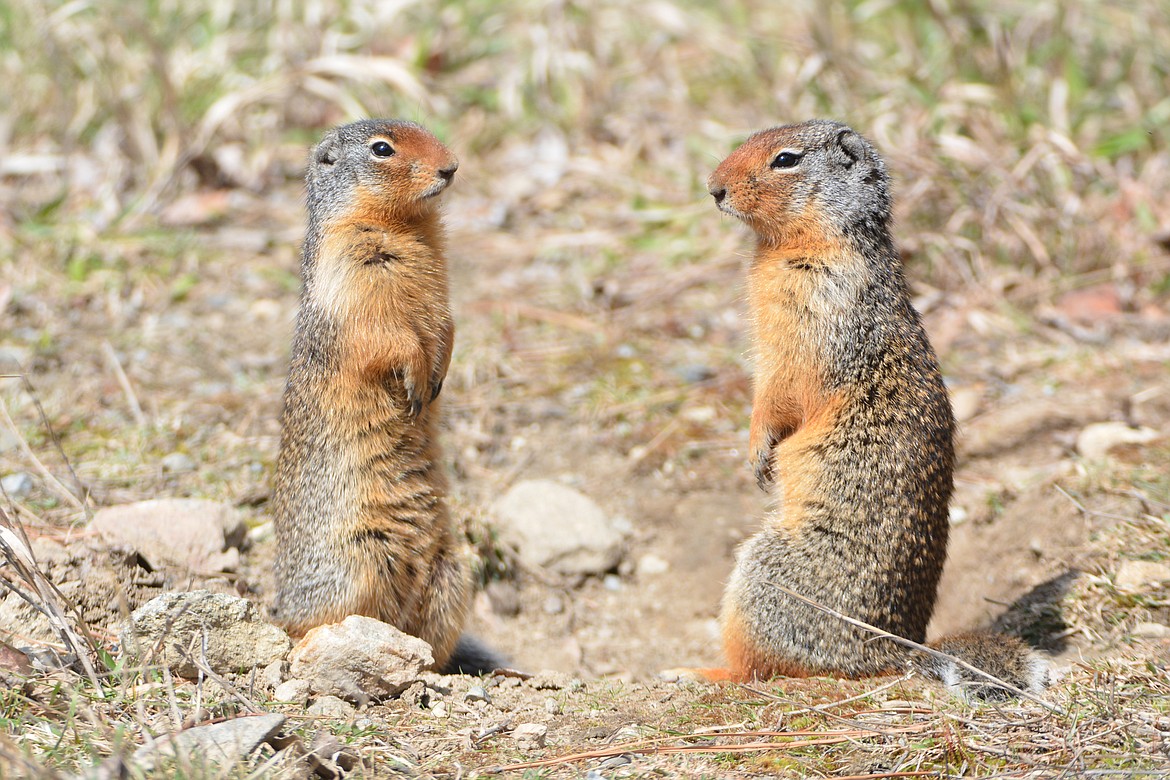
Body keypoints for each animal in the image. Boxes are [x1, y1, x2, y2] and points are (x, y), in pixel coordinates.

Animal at [270, 119, 496, 675]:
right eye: (381, 149)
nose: (451, 166)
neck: (406, 226)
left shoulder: (439, 282)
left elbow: (445, 321)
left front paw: (438, 372)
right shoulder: (356, 269)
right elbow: (389, 334)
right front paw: (417, 380)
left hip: (452, 575)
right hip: (357, 564)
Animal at [693, 119, 1046, 699]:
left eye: (785, 159)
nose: (713, 188)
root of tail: (894, 651)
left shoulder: (815, 317)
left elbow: (782, 393)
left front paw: (757, 449)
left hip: (763, 575)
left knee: (759, 668)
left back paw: (700, 671)